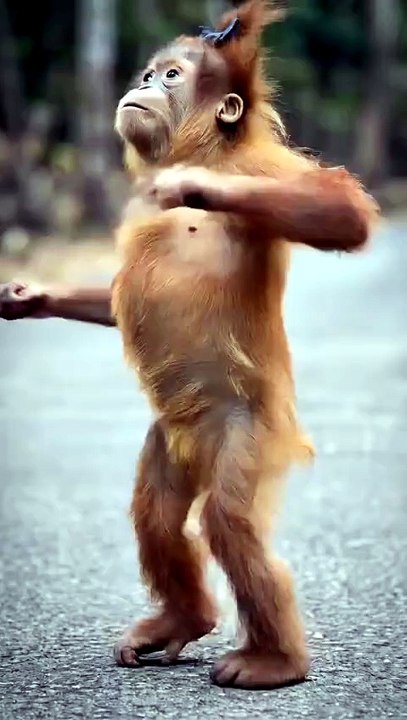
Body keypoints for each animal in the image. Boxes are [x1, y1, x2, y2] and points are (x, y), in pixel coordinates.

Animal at [0, 0, 379, 690]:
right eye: (149, 74)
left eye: (171, 76)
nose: (145, 85)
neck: (209, 147)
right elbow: (114, 295)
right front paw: (28, 295)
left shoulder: (264, 171)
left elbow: (339, 206)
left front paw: (194, 188)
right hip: (169, 442)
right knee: (156, 517)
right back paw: (183, 621)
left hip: (248, 433)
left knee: (229, 521)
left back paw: (275, 661)